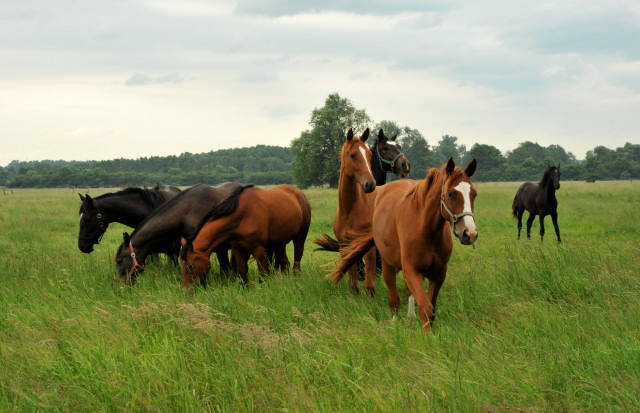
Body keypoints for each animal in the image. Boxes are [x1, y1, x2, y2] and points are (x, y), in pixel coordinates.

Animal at [179, 183, 312, 290]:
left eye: (190, 266)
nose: (186, 290)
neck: (243, 215)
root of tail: (299, 193)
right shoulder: (238, 249)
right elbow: (242, 273)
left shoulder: (258, 249)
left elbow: (263, 274)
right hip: (279, 243)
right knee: (285, 263)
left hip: (300, 237)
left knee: (296, 261)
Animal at [328, 158, 478, 332]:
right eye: (451, 194)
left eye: (474, 194)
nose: (470, 233)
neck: (426, 229)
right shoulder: (412, 271)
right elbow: (425, 308)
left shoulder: (439, 274)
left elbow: (431, 309)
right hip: (387, 265)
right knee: (393, 298)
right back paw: (395, 321)